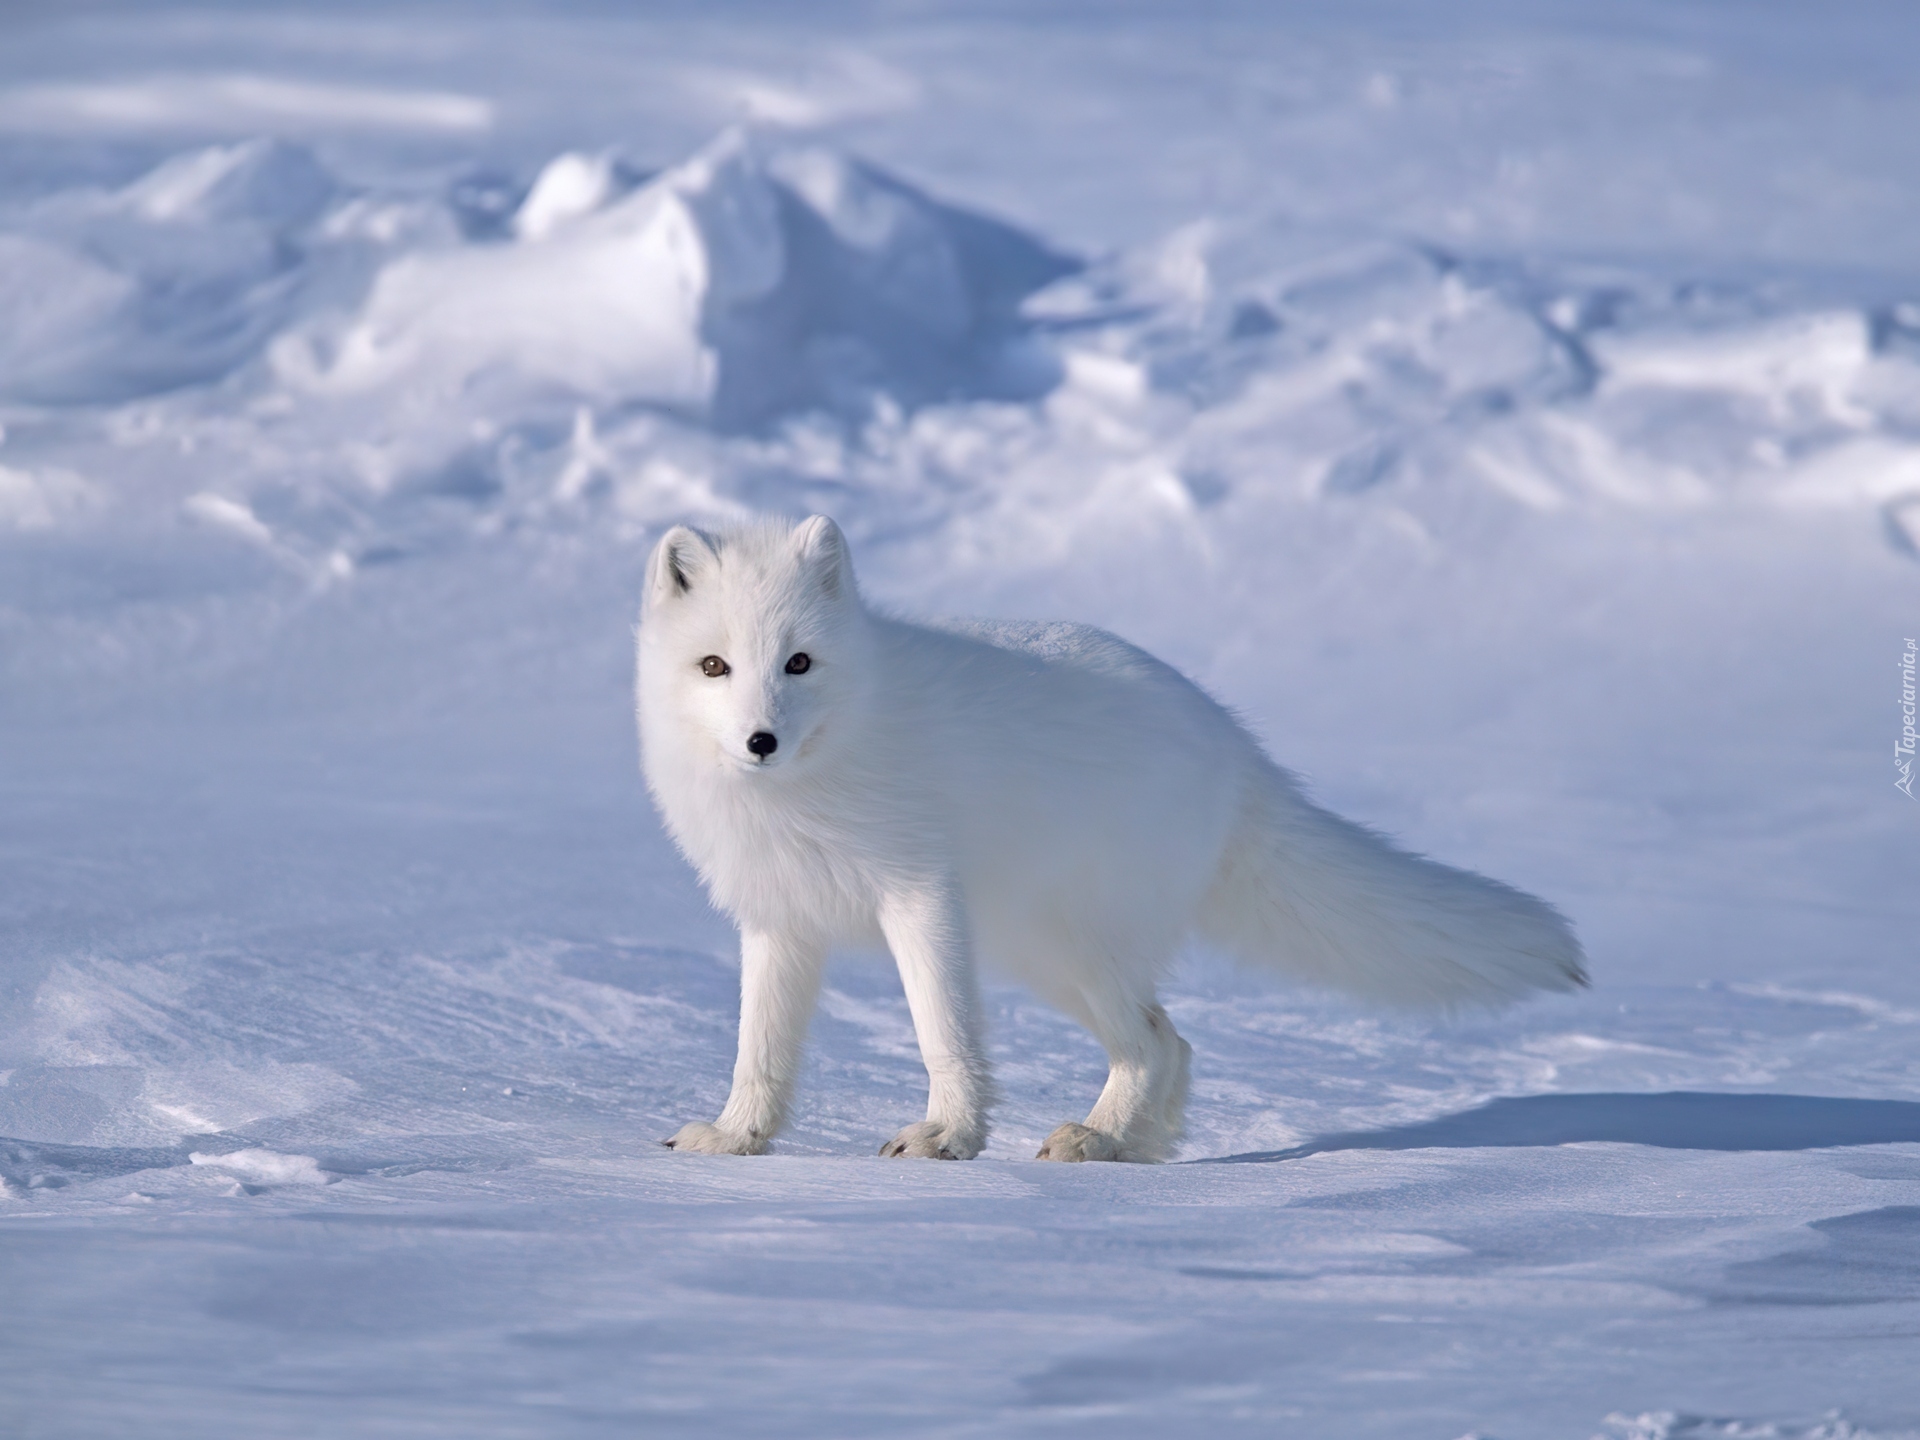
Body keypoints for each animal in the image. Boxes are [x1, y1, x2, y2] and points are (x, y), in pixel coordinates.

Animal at [637, 514, 1582, 1167]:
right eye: (715, 666)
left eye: (798, 662)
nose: (761, 740)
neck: (811, 781)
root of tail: (1237, 747)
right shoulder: (779, 920)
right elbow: (759, 1050)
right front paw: (737, 1138)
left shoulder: (919, 894)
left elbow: (944, 1031)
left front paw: (948, 1137)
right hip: (1044, 954)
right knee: (1174, 1041)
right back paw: (1132, 1145)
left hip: (1068, 946)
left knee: (1157, 1039)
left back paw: (1098, 1139)